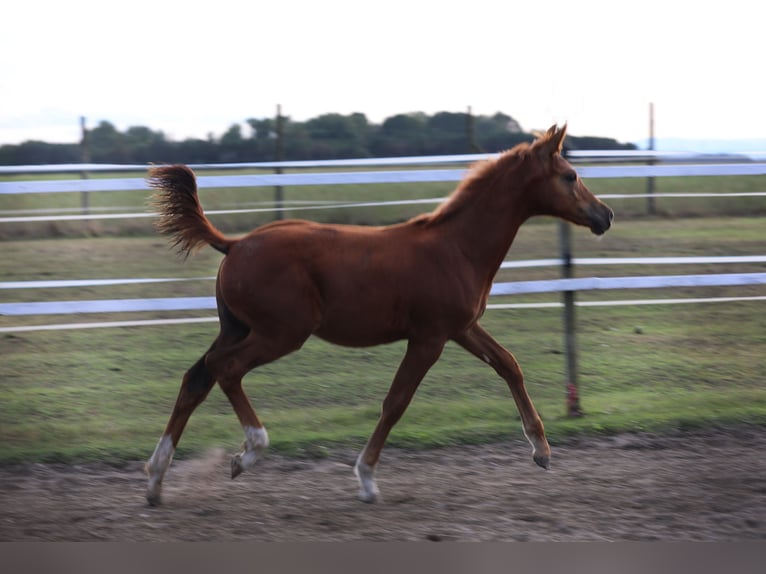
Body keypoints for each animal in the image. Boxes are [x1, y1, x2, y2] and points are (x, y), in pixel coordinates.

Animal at [142, 125, 612, 504]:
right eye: (570, 176)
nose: (604, 215)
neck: (457, 247)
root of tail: (235, 243)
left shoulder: (462, 328)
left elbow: (509, 365)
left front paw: (542, 451)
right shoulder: (429, 338)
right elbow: (396, 401)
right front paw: (366, 479)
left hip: (237, 327)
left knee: (196, 378)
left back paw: (155, 480)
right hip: (281, 333)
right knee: (225, 368)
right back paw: (248, 453)